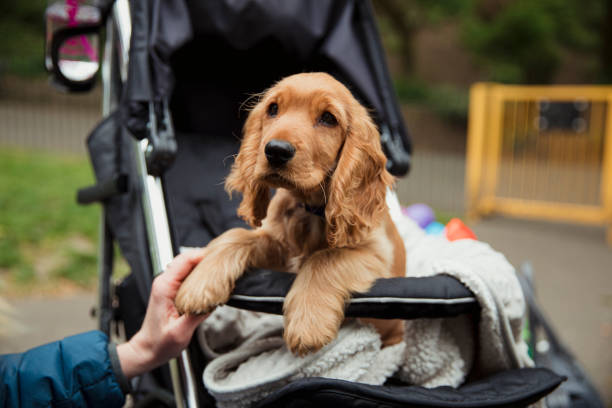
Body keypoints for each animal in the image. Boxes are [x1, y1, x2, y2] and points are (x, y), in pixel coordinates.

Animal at [176, 72, 406, 354]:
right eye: (273, 109)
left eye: (328, 118)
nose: (275, 150)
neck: (309, 208)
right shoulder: (279, 249)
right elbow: (238, 235)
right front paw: (199, 282)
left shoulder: (377, 254)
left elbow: (323, 258)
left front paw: (307, 325)